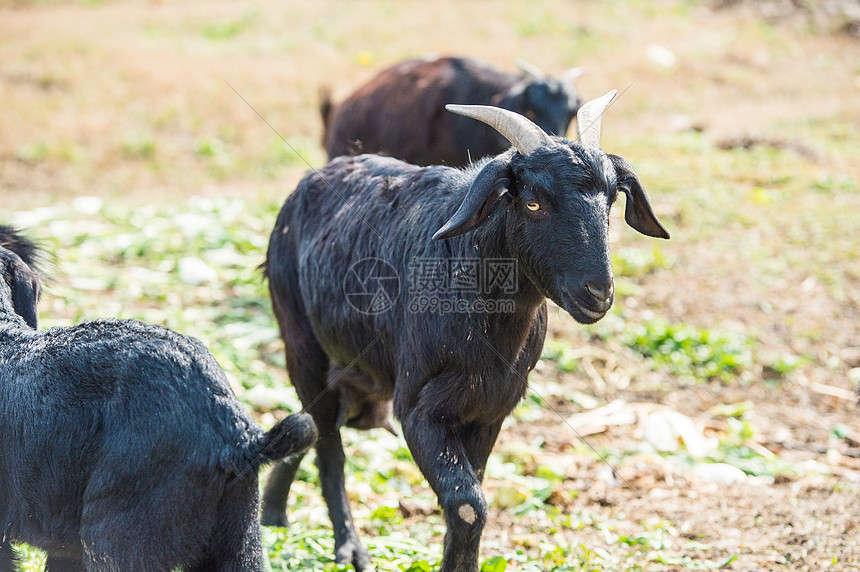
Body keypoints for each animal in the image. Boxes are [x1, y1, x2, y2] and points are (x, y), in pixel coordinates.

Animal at [262, 91, 672, 568]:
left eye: (610, 202)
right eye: (533, 202)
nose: (598, 293)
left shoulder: (489, 408)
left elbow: (467, 498)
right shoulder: (418, 408)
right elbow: (467, 505)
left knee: (311, 427)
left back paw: (272, 514)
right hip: (303, 348)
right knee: (327, 444)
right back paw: (349, 547)